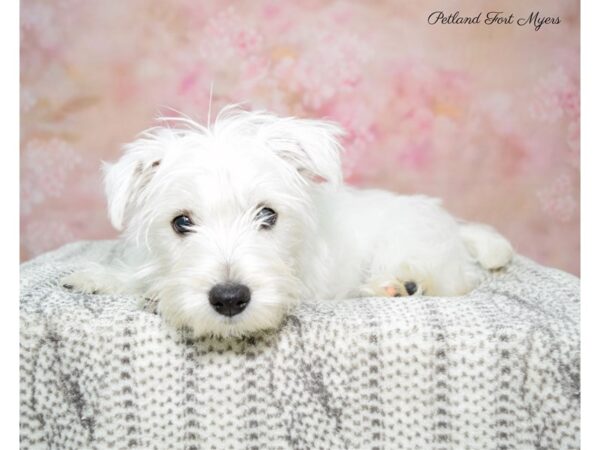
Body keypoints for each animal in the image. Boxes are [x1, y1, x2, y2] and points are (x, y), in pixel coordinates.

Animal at [63, 107, 512, 336]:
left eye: (268, 214)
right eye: (181, 222)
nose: (229, 298)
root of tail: (458, 229)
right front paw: (100, 277)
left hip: (411, 246)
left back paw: (399, 285)